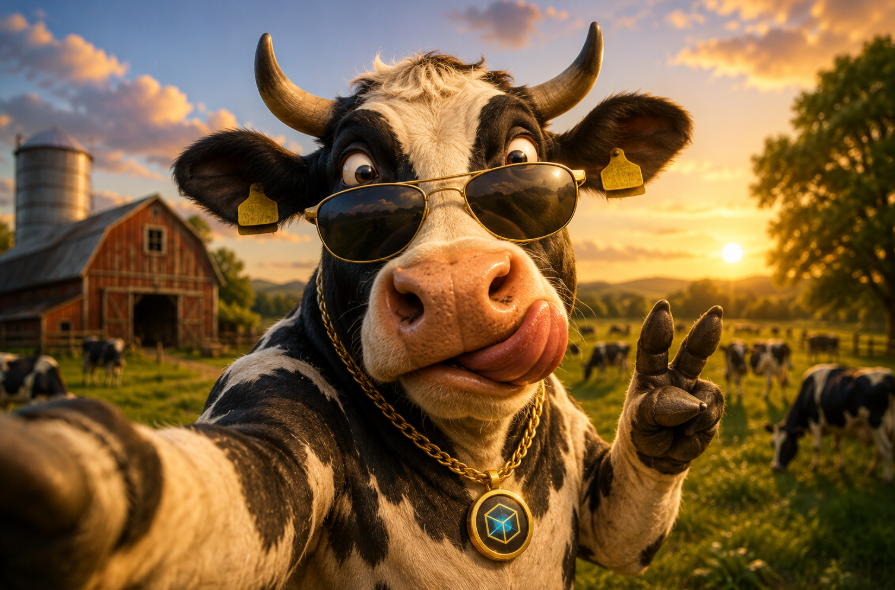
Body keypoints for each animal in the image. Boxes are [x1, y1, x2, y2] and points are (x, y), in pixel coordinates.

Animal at [0, 25, 727, 589]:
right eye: (358, 177)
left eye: (521, 158)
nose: (455, 291)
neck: (479, 457)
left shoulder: (597, 502)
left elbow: (624, 528)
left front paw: (665, 394)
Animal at [765, 365, 895, 482]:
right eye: (772, 444)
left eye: (787, 446)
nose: (775, 467)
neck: (808, 391)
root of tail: (888, 376)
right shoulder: (838, 425)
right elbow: (837, 446)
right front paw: (840, 466)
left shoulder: (815, 421)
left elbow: (817, 447)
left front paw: (814, 467)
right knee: (879, 451)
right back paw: (871, 471)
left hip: (875, 424)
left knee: (886, 448)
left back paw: (887, 479)